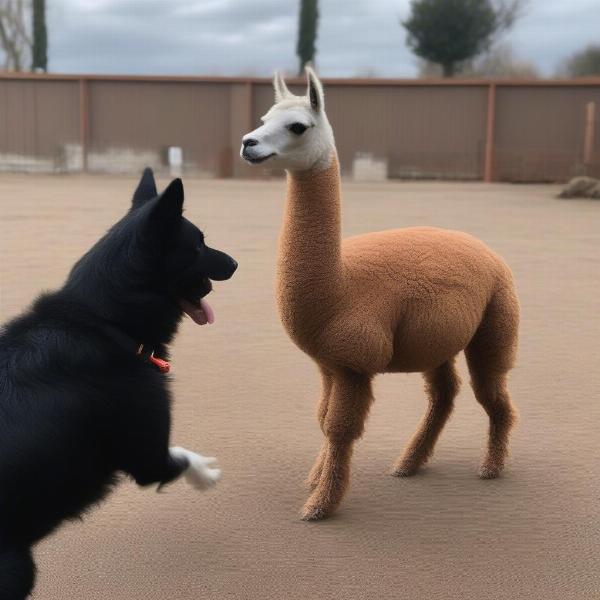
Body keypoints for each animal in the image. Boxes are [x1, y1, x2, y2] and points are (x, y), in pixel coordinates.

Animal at [0, 170, 238, 600]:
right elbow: (179, 456)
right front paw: (205, 472)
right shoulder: (147, 455)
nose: (236, 263)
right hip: (17, 567)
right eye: (198, 245)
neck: (104, 321)